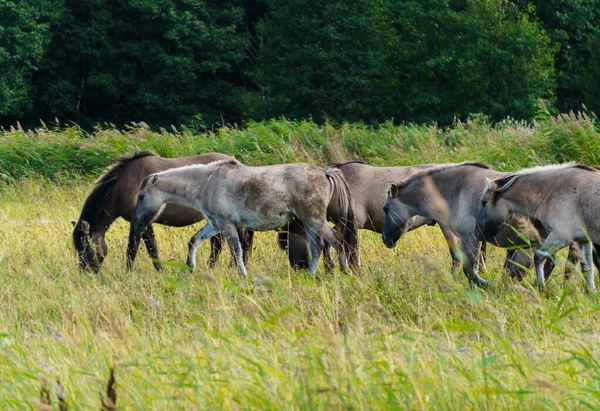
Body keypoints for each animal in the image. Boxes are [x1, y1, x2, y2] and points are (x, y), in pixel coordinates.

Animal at [72, 151, 253, 274]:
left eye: (85, 247)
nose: (86, 272)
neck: (125, 185)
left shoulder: (141, 223)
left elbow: (136, 249)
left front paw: (130, 273)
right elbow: (149, 249)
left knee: (241, 242)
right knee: (219, 243)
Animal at [131, 160, 356, 276]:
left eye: (141, 196)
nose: (137, 222)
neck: (206, 182)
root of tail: (325, 173)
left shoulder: (226, 224)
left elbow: (236, 249)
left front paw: (243, 274)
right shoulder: (214, 224)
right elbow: (194, 240)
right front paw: (190, 267)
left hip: (314, 219)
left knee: (336, 242)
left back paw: (344, 271)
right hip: (310, 222)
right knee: (318, 246)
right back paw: (311, 275)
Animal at [478, 163, 600, 292]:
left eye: (484, 202)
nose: (478, 232)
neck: (555, 191)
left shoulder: (560, 237)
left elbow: (538, 258)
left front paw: (541, 287)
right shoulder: (583, 240)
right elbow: (587, 269)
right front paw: (592, 293)